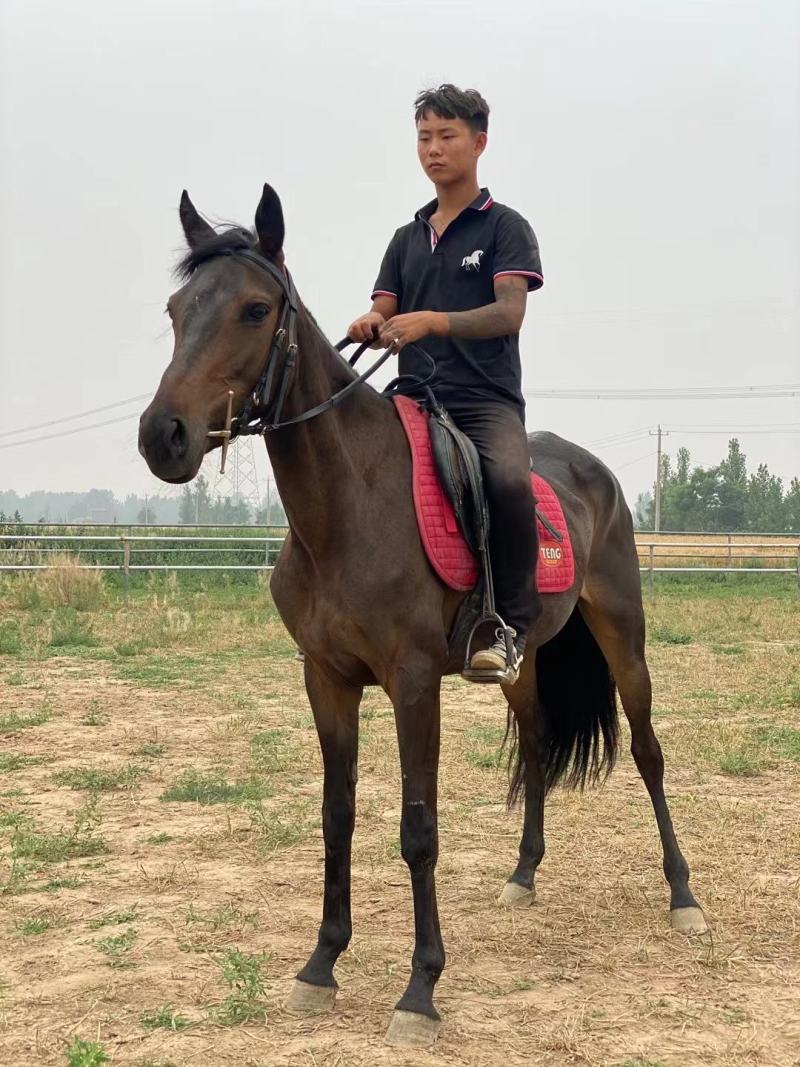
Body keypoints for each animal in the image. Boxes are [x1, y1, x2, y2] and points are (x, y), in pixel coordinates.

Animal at [138, 183, 707, 1048]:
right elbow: (336, 815)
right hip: (519, 662)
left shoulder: (412, 682)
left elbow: (417, 828)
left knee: (648, 753)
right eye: (176, 309)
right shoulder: (327, 679)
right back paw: (523, 875)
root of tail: (596, 472)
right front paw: (321, 965)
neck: (348, 506)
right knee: (535, 745)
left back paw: (683, 896)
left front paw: (420, 988)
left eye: (255, 309)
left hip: (624, 636)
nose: (162, 436)